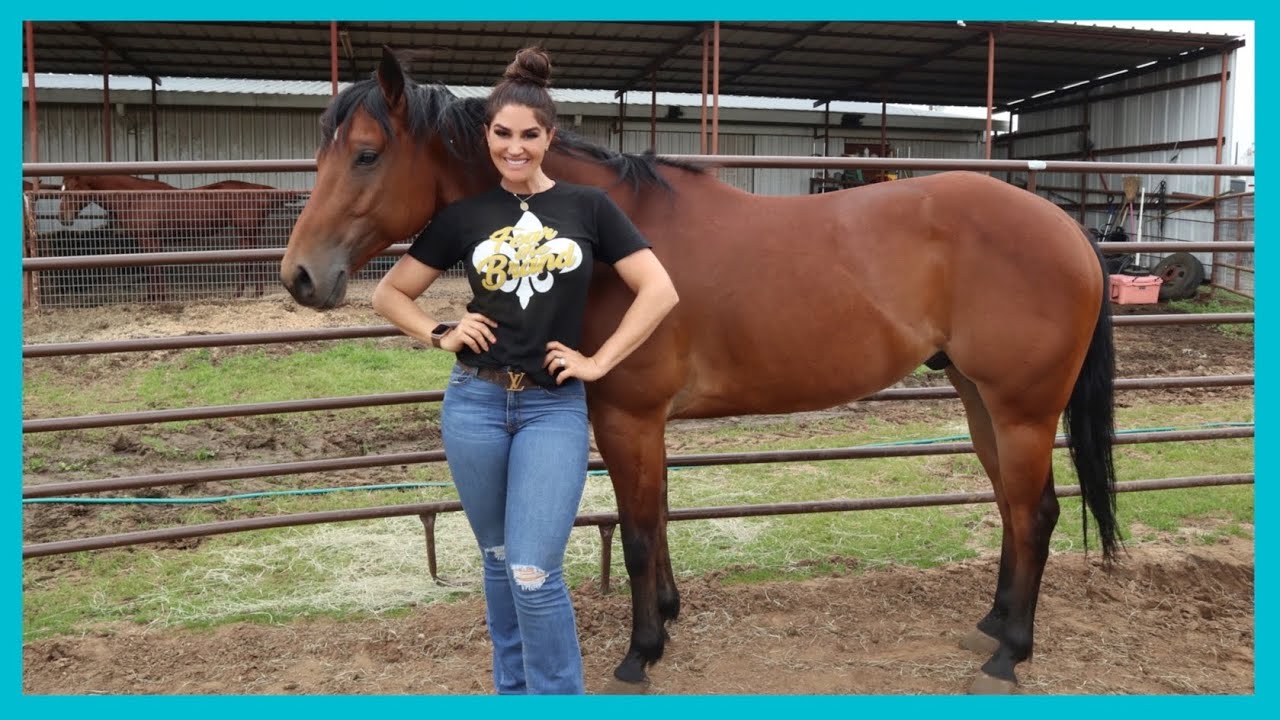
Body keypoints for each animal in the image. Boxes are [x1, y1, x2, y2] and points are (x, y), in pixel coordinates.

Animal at [58, 174, 298, 300]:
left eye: (70, 190)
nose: (63, 218)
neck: (135, 199)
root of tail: (261, 190)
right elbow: (151, 269)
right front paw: (151, 297)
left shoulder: (150, 241)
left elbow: (154, 269)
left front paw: (159, 298)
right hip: (249, 232)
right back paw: (249, 293)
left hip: (247, 230)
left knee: (253, 260)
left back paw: (248, 293)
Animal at [280, 49, 1120, 694]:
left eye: (366, 152)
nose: (299, 277)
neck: (617, 238)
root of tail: (1066, 228)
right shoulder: (642, 424)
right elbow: (657, 519)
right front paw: (669, 614)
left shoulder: (627, 418)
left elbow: (639, 532)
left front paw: (638, 654)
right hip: (979, 398)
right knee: (1013, 508)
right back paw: (991, 625)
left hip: (1019, 408)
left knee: (1035, 514)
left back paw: (1009, 655)